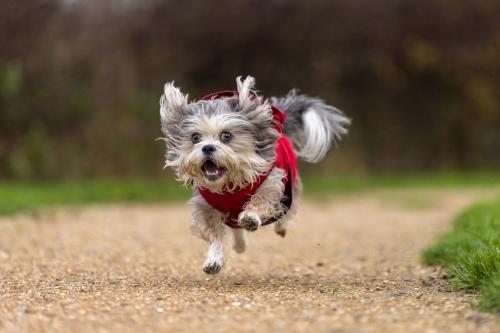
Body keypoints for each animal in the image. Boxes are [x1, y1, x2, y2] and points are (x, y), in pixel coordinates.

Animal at [158, 76, 350, 274]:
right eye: (195, 137)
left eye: (226, 136)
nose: (207, 147)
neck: (229, 185)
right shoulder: (205, 205)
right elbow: (213, 234)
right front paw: (214, 259)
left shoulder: (272, 182)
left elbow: (262, 201)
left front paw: (250, 217)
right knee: (235, 227)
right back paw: (239, 244)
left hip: (291, 187)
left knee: (287, 210)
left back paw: (280, 227)